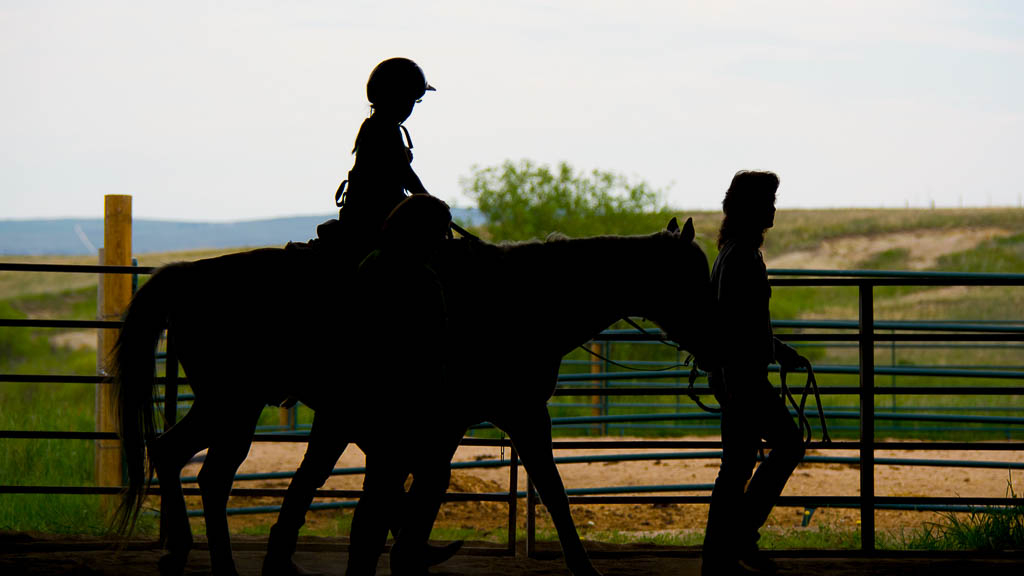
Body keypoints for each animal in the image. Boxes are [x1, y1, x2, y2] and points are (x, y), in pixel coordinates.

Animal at [108, 216, 708, 573]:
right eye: (694, 276)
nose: (711, 337)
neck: (520, 299)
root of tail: (188, 276)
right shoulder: (504, 416)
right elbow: (552, 491)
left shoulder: (477, 420)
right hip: (234, 403)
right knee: (205, 470)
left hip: (226, 404)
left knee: (178, 456)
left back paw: (193, 552)